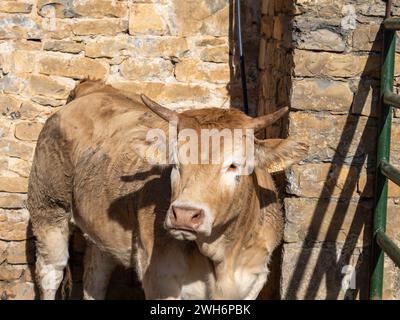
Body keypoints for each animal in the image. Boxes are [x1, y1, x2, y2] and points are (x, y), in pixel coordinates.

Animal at [27, 80, 310, 300]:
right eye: (175, 163)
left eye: (234, 165)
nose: (184, 215)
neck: (223, 257)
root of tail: (93, 89)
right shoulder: (160, 280)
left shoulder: (253, 280)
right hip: (48, 208)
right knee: (51, 271)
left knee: (96, 274)